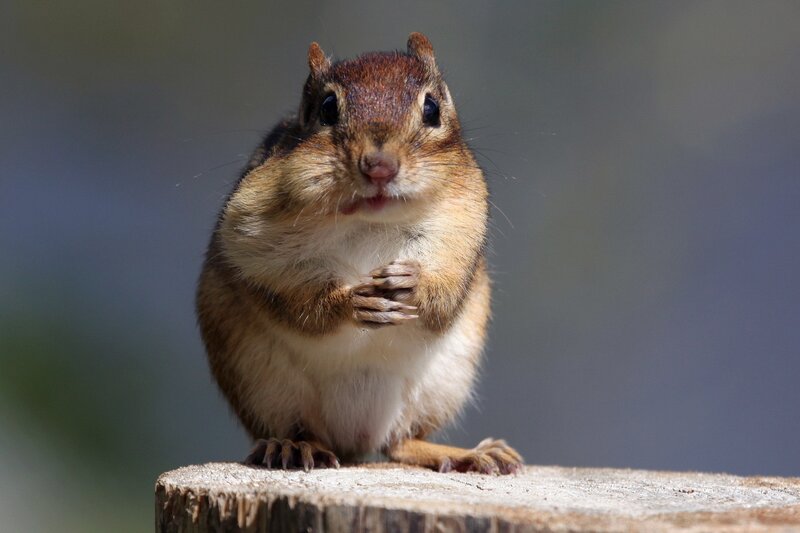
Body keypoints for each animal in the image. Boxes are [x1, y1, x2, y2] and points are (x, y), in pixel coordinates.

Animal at [196, 33, 522, 475]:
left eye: (432, 109)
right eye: (327, 108)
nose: (379, 166)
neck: (371, 221)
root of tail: (354, 441)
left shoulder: (460, 236)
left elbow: (444, 296)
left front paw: (411, 284)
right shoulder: (250, 241)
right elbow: (297, 304)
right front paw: (352, 301)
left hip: (439, 386)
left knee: (401, 443)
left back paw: (467, 453)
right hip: (262, 385)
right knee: (301, 428)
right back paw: (292, 447)